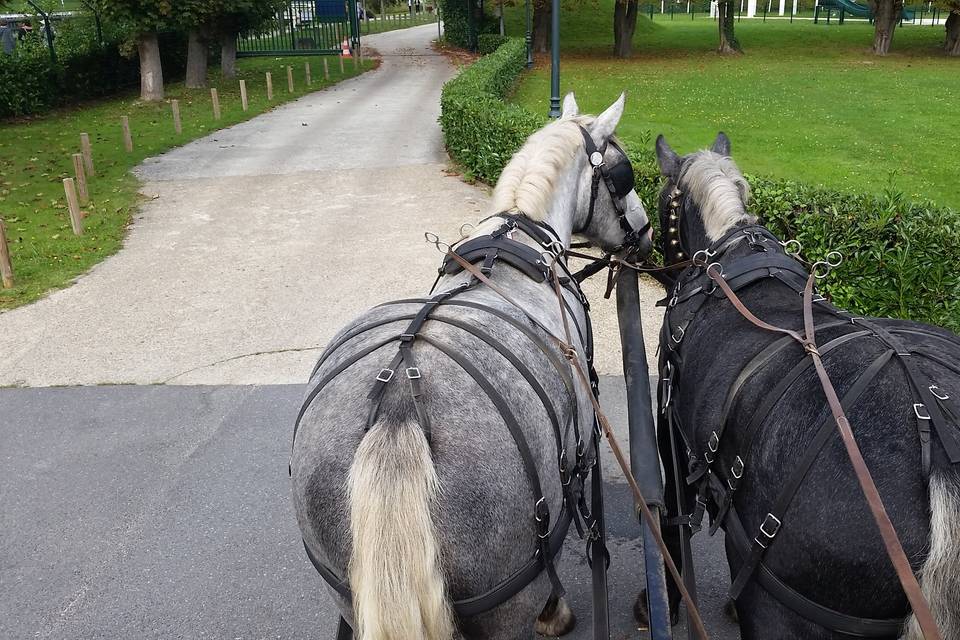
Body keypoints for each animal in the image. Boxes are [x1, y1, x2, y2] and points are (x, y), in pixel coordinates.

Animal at [290, 91, 652, 640]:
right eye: (624, 173)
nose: (648, 232)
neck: (516, 239)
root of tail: (400, 404)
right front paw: (557, 613)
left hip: (347, 590)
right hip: (508, 596)